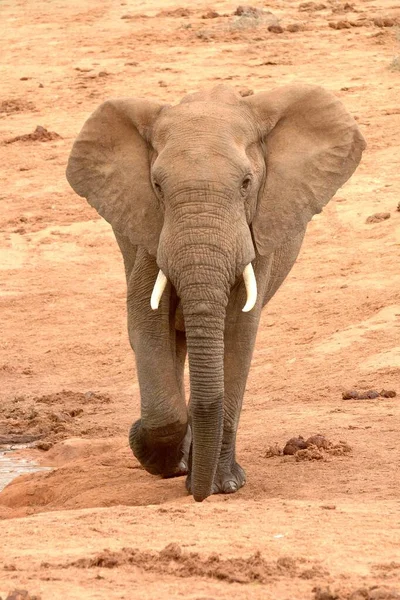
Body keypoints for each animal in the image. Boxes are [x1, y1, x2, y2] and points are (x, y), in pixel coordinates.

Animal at [65, 83, 366, 502]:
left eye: (246, 184)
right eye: (157, 186)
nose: (199, 494)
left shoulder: (257, 233)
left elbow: (238, 330)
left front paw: (224, 486)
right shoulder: (149, 231)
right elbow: (145, 319)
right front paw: (155, 451)